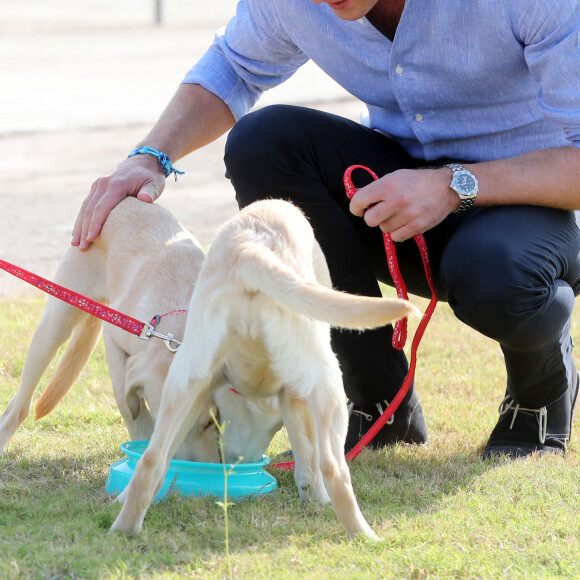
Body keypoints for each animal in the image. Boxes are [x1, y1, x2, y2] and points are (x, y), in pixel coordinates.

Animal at [0, 197, 216, 460]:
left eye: (211, 422)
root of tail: (126, 199)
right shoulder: (116, 335)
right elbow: (125, 399)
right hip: (57, 320)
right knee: (19, 405)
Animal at [111, 199, 416, 540]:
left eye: (216, 421)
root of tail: (250, 252)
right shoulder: (296, 395)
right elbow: (310, 457)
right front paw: (318, 500)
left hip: (185, 384)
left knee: (152, 459)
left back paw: (123, 529)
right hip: (327, 382)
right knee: (334, 468)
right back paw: (366, 536)